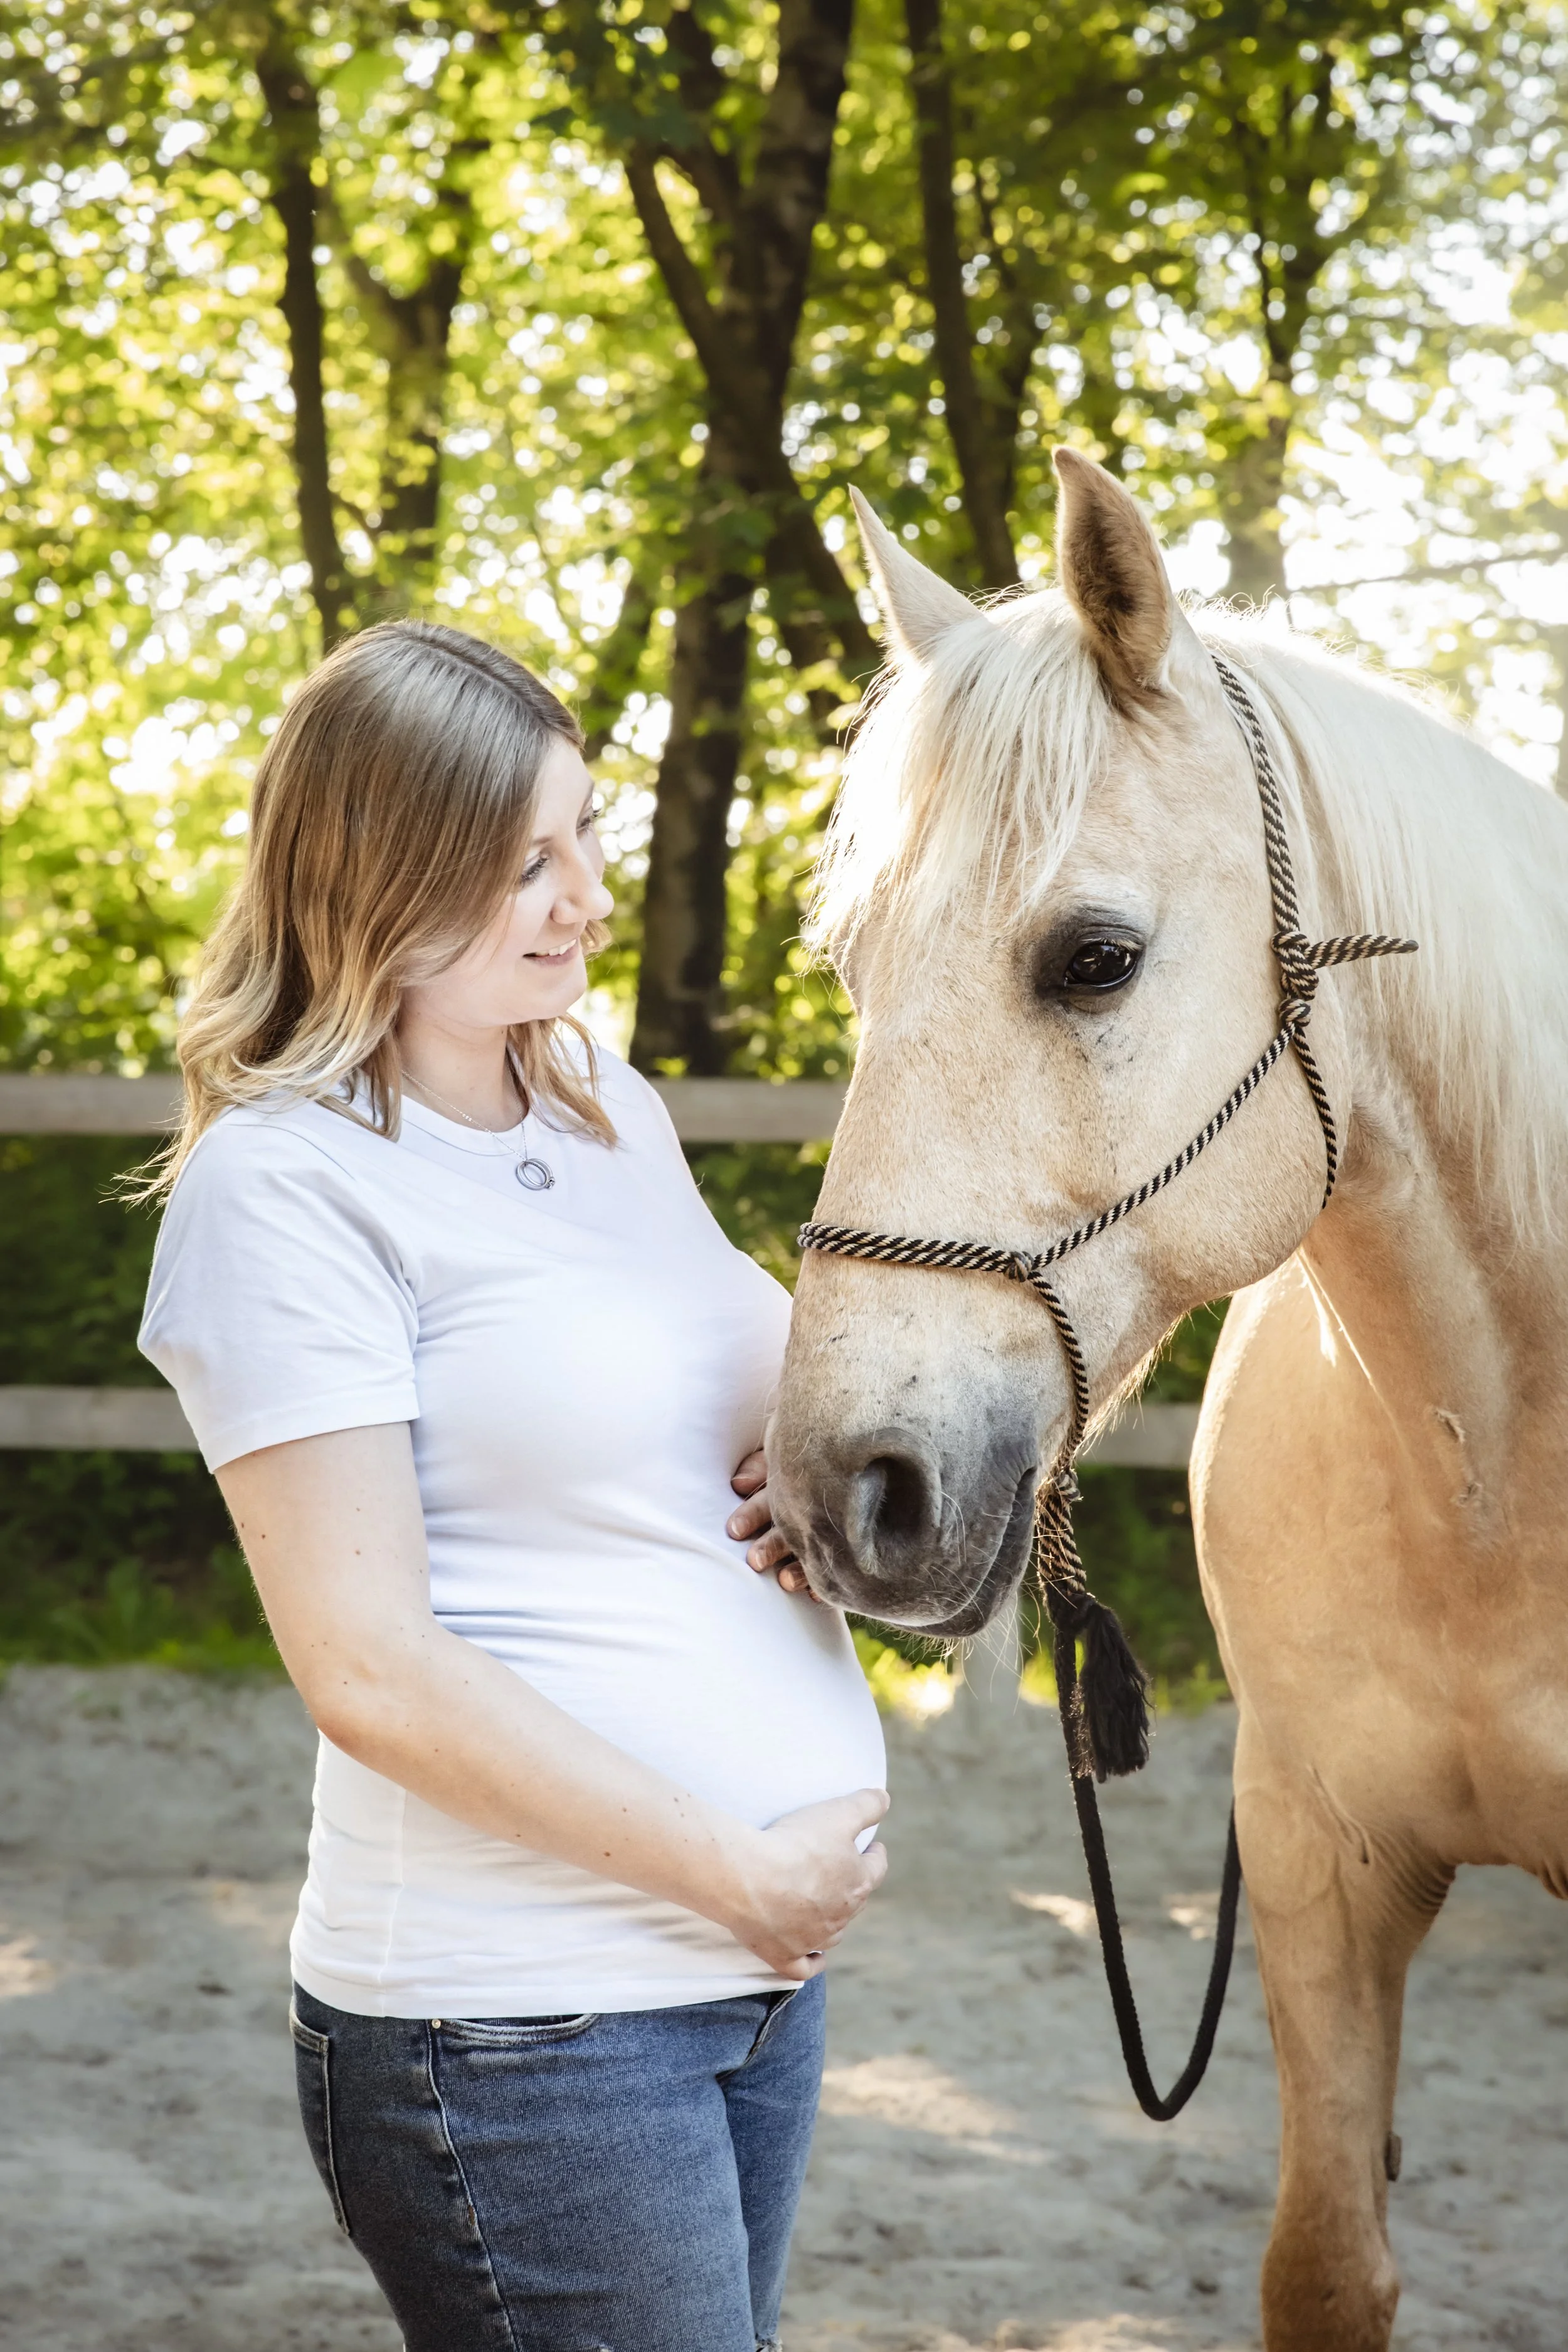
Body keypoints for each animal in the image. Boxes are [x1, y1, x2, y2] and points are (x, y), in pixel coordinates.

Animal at [768, 447, 1568, 2351]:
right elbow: (1323, 2260)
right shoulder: (1316, 1854)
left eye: (1091, 957)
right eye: (852, 967)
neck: (1496, 1461)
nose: (850, 1487)